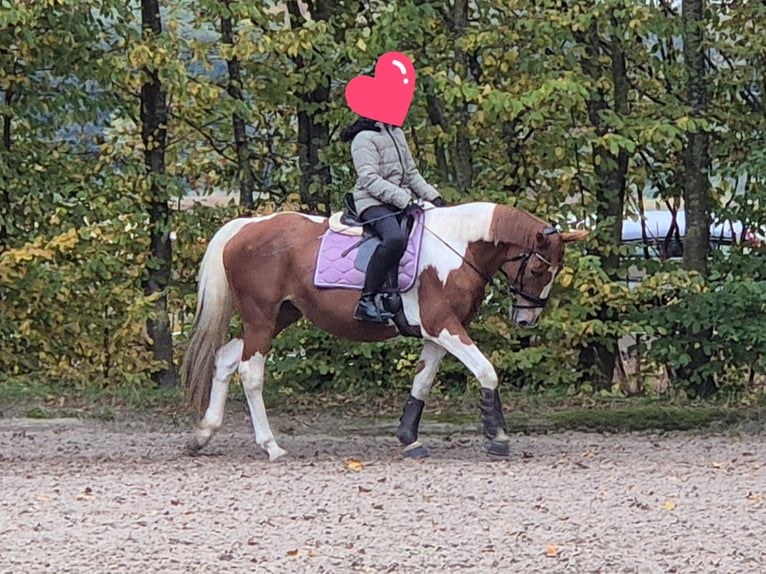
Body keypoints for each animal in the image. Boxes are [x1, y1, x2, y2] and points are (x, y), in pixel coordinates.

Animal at [181, 201, 587, 460]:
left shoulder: (436, 334)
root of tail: (245, 227)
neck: (457, 248)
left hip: (280, 315)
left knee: (226, 358)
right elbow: (486, 371)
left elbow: (422, 383)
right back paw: (270, 446)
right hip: (261, 318)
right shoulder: (444, 326)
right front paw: (498, 438)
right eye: (537, 269)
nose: (527, 320)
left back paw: (204, 433)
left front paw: (409, 439)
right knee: (251, 372)